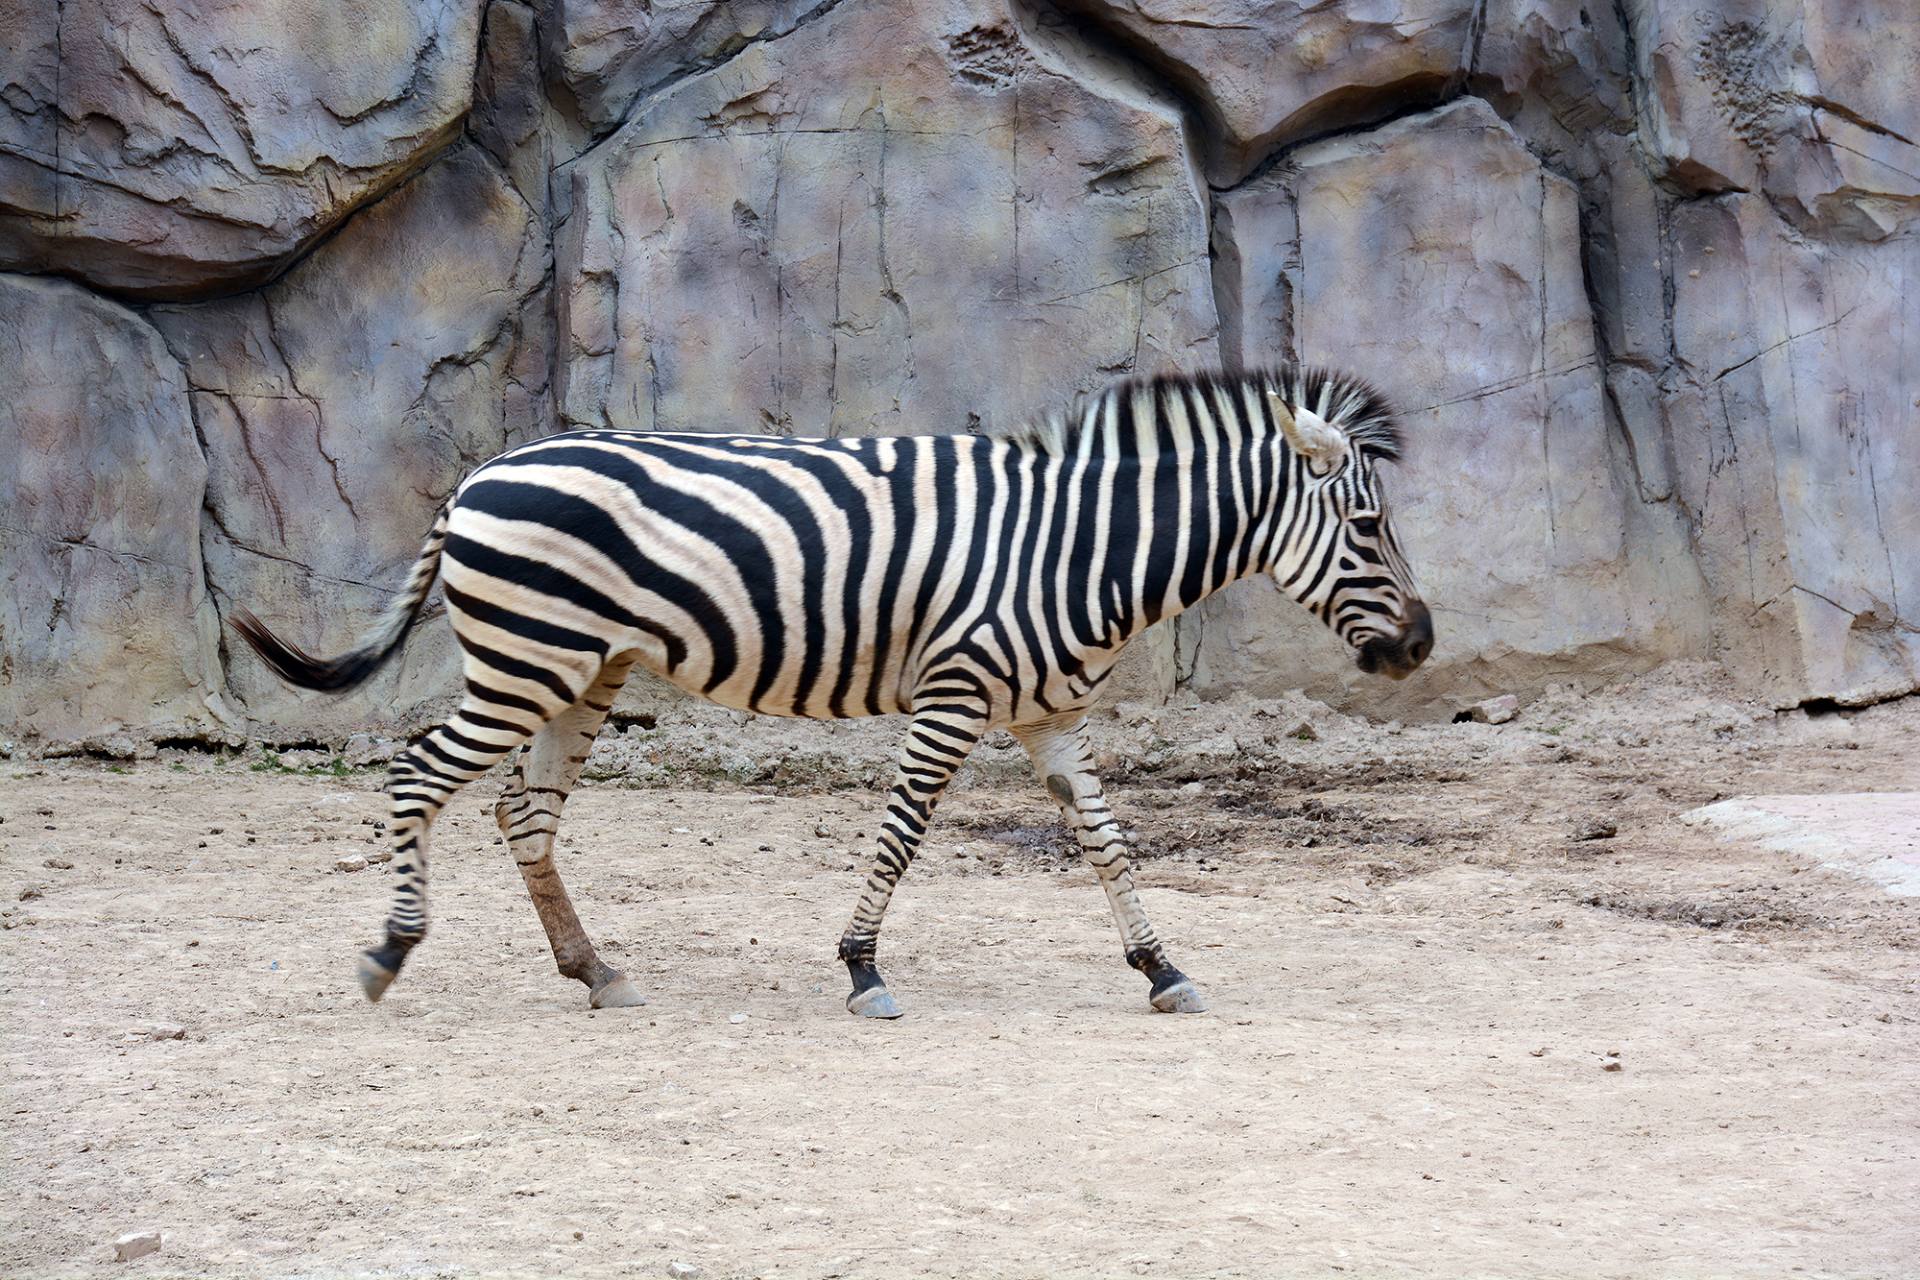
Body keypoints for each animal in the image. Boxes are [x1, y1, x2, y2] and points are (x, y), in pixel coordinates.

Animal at [232, 368, 1428, 1020]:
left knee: (521, 812)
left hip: (582, 669)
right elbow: (901, 834)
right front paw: (862, 969)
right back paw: (391, 952)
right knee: (417, 773)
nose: (1421, 644)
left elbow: (1107, 840)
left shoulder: (1050, 714)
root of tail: (476, 476)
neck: (1077, 550)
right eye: (1370, 527)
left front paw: (1162, 966)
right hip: (528, 658)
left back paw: (595, 970)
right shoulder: (955, 691)